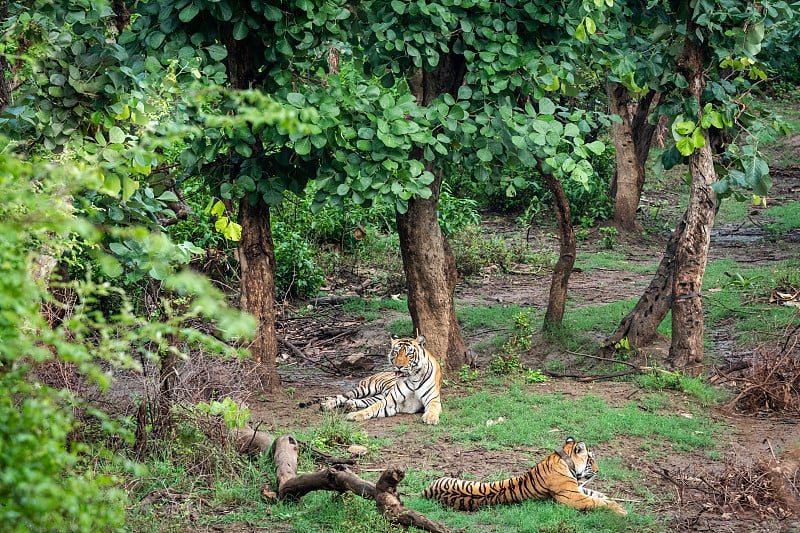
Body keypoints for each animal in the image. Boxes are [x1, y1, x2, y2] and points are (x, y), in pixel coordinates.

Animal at [304, 334, 446, 426]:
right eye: (395, 353)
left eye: (409, 354)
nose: (398, 366)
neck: (413, 377)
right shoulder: (390, 401)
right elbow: (371, 409)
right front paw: (355, 415)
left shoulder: (433, 399)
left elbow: (433, 408)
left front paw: (430, 418)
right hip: (365, 389)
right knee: (342, 397)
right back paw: (326, 405)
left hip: (377, 395)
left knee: (361, 400)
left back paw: (350, 405)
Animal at [422, 434, 628, 512]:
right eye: (591, 460)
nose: (598, 470)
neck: (563, 459)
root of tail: (425, 492)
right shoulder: (573, 497)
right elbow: (596, 501)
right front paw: (620, 510)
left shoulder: (577, 489)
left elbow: (598, 494)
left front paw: (615, 501)